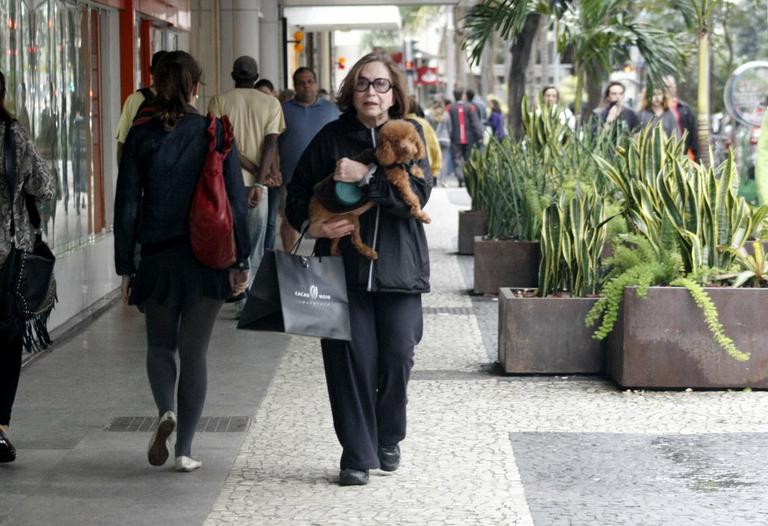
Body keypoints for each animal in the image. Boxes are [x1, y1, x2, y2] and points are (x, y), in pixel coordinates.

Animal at [308, 118, 428, 260]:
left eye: (410, 139)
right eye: (395, 142)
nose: (406, 148)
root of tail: (312, 214)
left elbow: (412, 168)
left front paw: (418, 171)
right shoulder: (398, 179)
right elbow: (412, 197)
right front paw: (421, 215)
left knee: (333, 245)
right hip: (347, 219)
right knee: (355, 240)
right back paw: (369, 252)